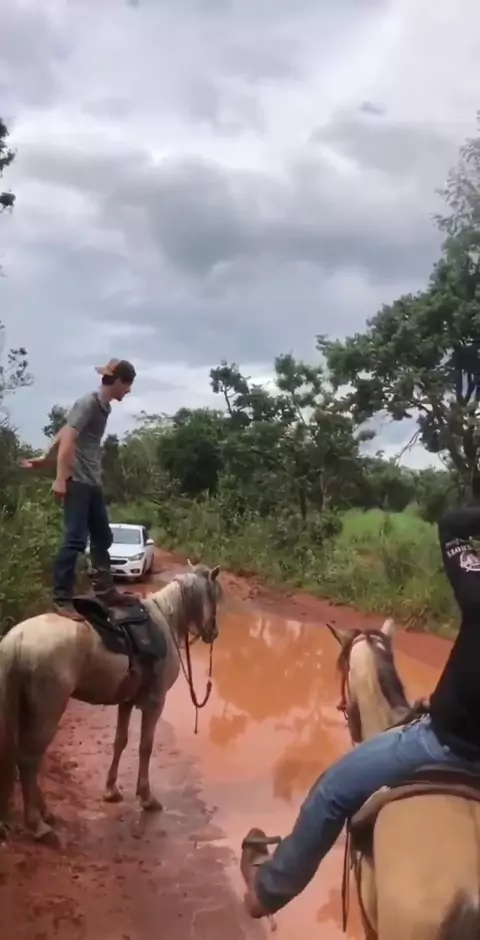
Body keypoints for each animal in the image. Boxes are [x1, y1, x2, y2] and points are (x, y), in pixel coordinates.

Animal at [0, 563, 221, 847]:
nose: (213, 632)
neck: (165, 619)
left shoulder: (126, 701)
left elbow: (120, 741)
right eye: (214, 595)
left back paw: (46, 814)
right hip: (46, 713)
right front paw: (146, 798)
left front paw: (111, 790)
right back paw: (38, 825)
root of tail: (17, 638)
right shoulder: (155, 702)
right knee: (28, 762)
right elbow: (145, 746)